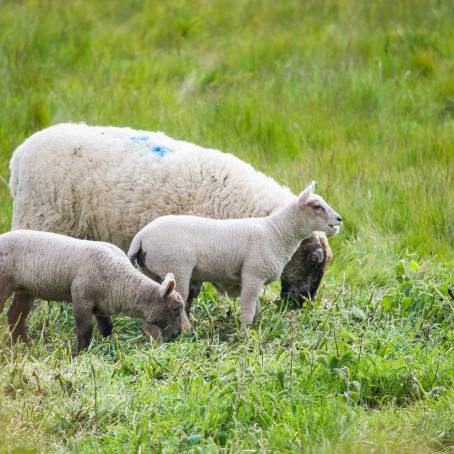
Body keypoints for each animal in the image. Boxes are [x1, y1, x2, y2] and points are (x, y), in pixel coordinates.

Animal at [0, 231, 191, 352]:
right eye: (175, 309)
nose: (178, 333)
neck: (121, 280)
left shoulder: (103, 306)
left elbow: (107, 328)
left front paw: (106, 346)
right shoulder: (81, 299)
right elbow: (84, 330)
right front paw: (80, 355)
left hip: (25, 289)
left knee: (15, 316)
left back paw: (23, 346)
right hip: (4, 283)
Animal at [127, 181, 340, 326]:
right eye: (317, 206)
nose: (340, 219)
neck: (276, 232)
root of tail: (141, 237)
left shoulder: (252, 278)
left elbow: (256, 308)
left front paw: (256, 328)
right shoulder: (254, 274)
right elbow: (248, 307)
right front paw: (245, 334)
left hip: (151, 270)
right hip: (176, 267)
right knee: (180, 296)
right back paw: (187, 330)